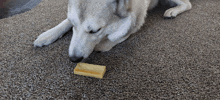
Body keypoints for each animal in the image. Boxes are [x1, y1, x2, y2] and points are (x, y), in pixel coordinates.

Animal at [33, 0, 192, 62]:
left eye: (95, 31)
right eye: (73, 25)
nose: (74, 59)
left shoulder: (137, 18)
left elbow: (119, 35)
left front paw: (102, 45)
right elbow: (64, 22)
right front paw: (48, 35)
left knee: (188, 4)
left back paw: (172, 11)